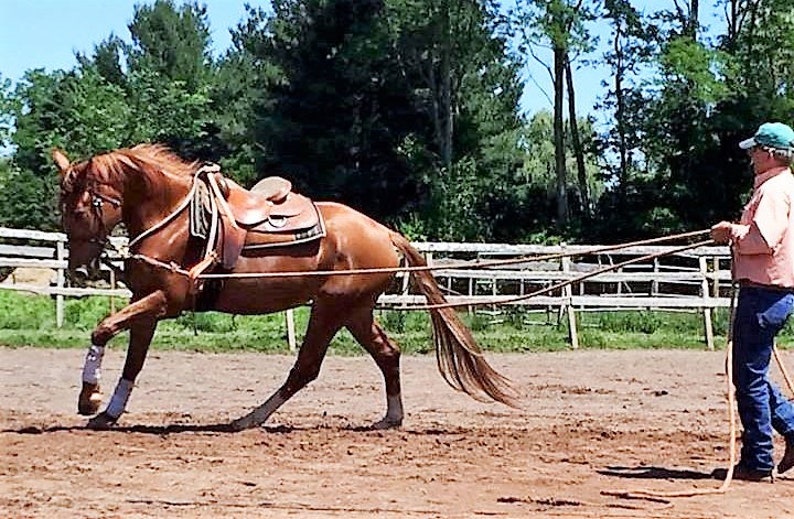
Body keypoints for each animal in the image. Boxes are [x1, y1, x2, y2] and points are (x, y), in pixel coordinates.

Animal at [53, 144, 516, 430]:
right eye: (63, 209)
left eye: (80, 209)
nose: (80, 271)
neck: (175, 217)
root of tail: (385, 233)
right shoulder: (147, 301)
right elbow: (134, 359)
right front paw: (108, 412)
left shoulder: (168, 299)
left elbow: (103, 329)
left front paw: (88, 397)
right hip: (355, 310)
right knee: (388, 353)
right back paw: (390, 417)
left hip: (331, 307)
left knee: (305, 368)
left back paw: (249, 419)